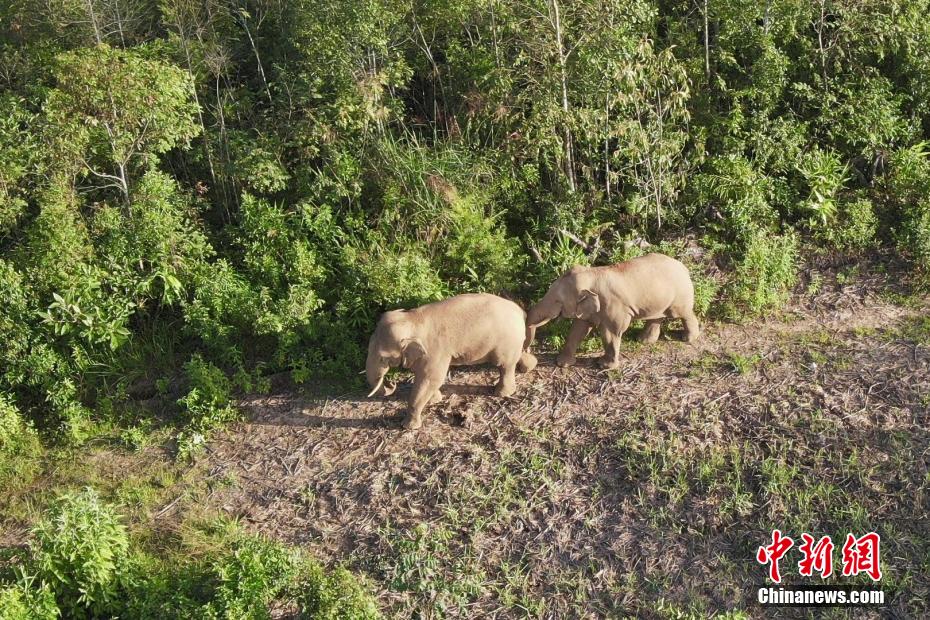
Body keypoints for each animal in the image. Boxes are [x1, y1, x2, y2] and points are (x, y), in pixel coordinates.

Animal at [364, 294, 536, 428]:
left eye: (383, 358)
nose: (391, 385)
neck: (412, 319)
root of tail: (520, 311)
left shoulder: (435, 350)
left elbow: (430, 379)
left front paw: (407, 426)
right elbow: (426, 379)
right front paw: (435, 400)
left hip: (506, 342)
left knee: (504, 365)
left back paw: (501, 393)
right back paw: (529, 366)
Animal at [520, 252, 696, 368]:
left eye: (558, 301)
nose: (528, 350)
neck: (592, 274)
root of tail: (684, 267)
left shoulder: (615, 306)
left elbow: (611, 332)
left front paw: (604, 365)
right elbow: (578, 329)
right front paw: (562, 363)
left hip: (681, 296)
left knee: (683, 313)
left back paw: (688, 339)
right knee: (657, 316)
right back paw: (644, 340)